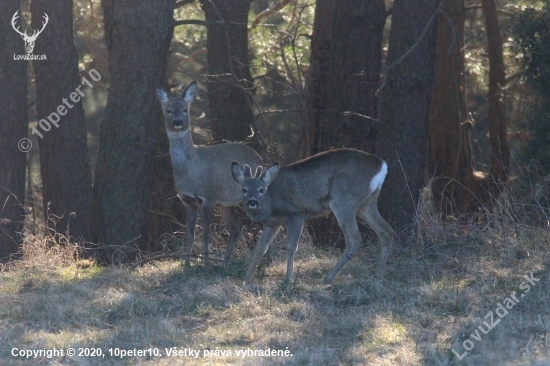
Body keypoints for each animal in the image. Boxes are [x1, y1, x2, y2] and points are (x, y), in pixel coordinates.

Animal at [156, 81, 264, 266]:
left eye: (185, 109)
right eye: (168, 110)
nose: (178, 122)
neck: (191, 170)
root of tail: (259, 157)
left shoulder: (208, 198)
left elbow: (205, 234)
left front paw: (206, 263)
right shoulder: (187, 201)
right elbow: (190, 235)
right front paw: (187, 265)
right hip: (225, 204)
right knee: (236, 228)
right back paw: (226, 262)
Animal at [233, 148, 396, 284]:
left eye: (261, 190)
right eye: (244, 189)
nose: (252, 201)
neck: (271, 201)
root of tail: (382, 165)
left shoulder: (296, 213)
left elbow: (291, 247)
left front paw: (288, 279)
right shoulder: (272, 223)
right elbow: (260, 248)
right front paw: (246, 279)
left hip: (343, 198)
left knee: (355, 239)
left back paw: (328, 278)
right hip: (367, 203)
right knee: (386, 231)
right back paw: (378, 277)